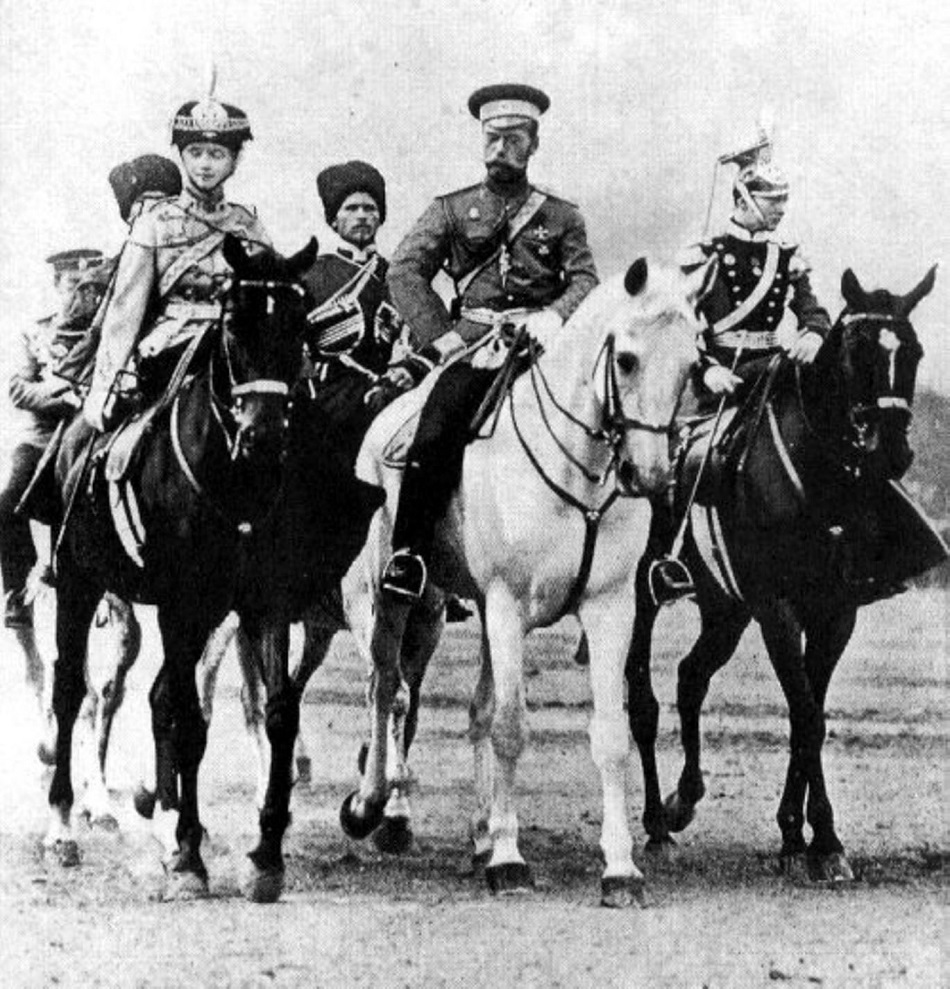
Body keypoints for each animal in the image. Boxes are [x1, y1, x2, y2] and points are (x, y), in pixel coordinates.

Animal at [44, 235, 318, 899]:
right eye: (233, 325)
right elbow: (189, 721)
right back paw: (64, 826)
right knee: (72, 690)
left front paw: (265, 854)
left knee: (157, 694)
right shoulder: (181, 604)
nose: (263, 435)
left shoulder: (261, 604)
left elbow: (277, 713)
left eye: (297, 325)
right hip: (80, 584)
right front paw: (191, 858)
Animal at [334, 257, 704, 907]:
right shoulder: (508, 606)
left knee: (452, 702)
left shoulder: (610, 609)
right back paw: (374, 806)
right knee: (386, 688)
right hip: (388, 597)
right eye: (627, 359)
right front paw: (510, 860)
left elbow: (608, 735)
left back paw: (478, 830)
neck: (578, 473)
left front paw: (619, 868)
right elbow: (509, 725)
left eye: (691, 364)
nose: (649, 475)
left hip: (445, 609)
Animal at [625, 264, 942, 882]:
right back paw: (655, 824)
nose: (891, 450)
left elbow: (808, 716)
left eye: (913, 351)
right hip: (642, 599)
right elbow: (806, 714)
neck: (822, 482)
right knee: (643, 698)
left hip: (725, 610)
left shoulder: (834, 613)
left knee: (691, 677)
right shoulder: (776, 608)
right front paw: (820, 837)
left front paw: (803, 837)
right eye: (856, 351)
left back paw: (683, 801)